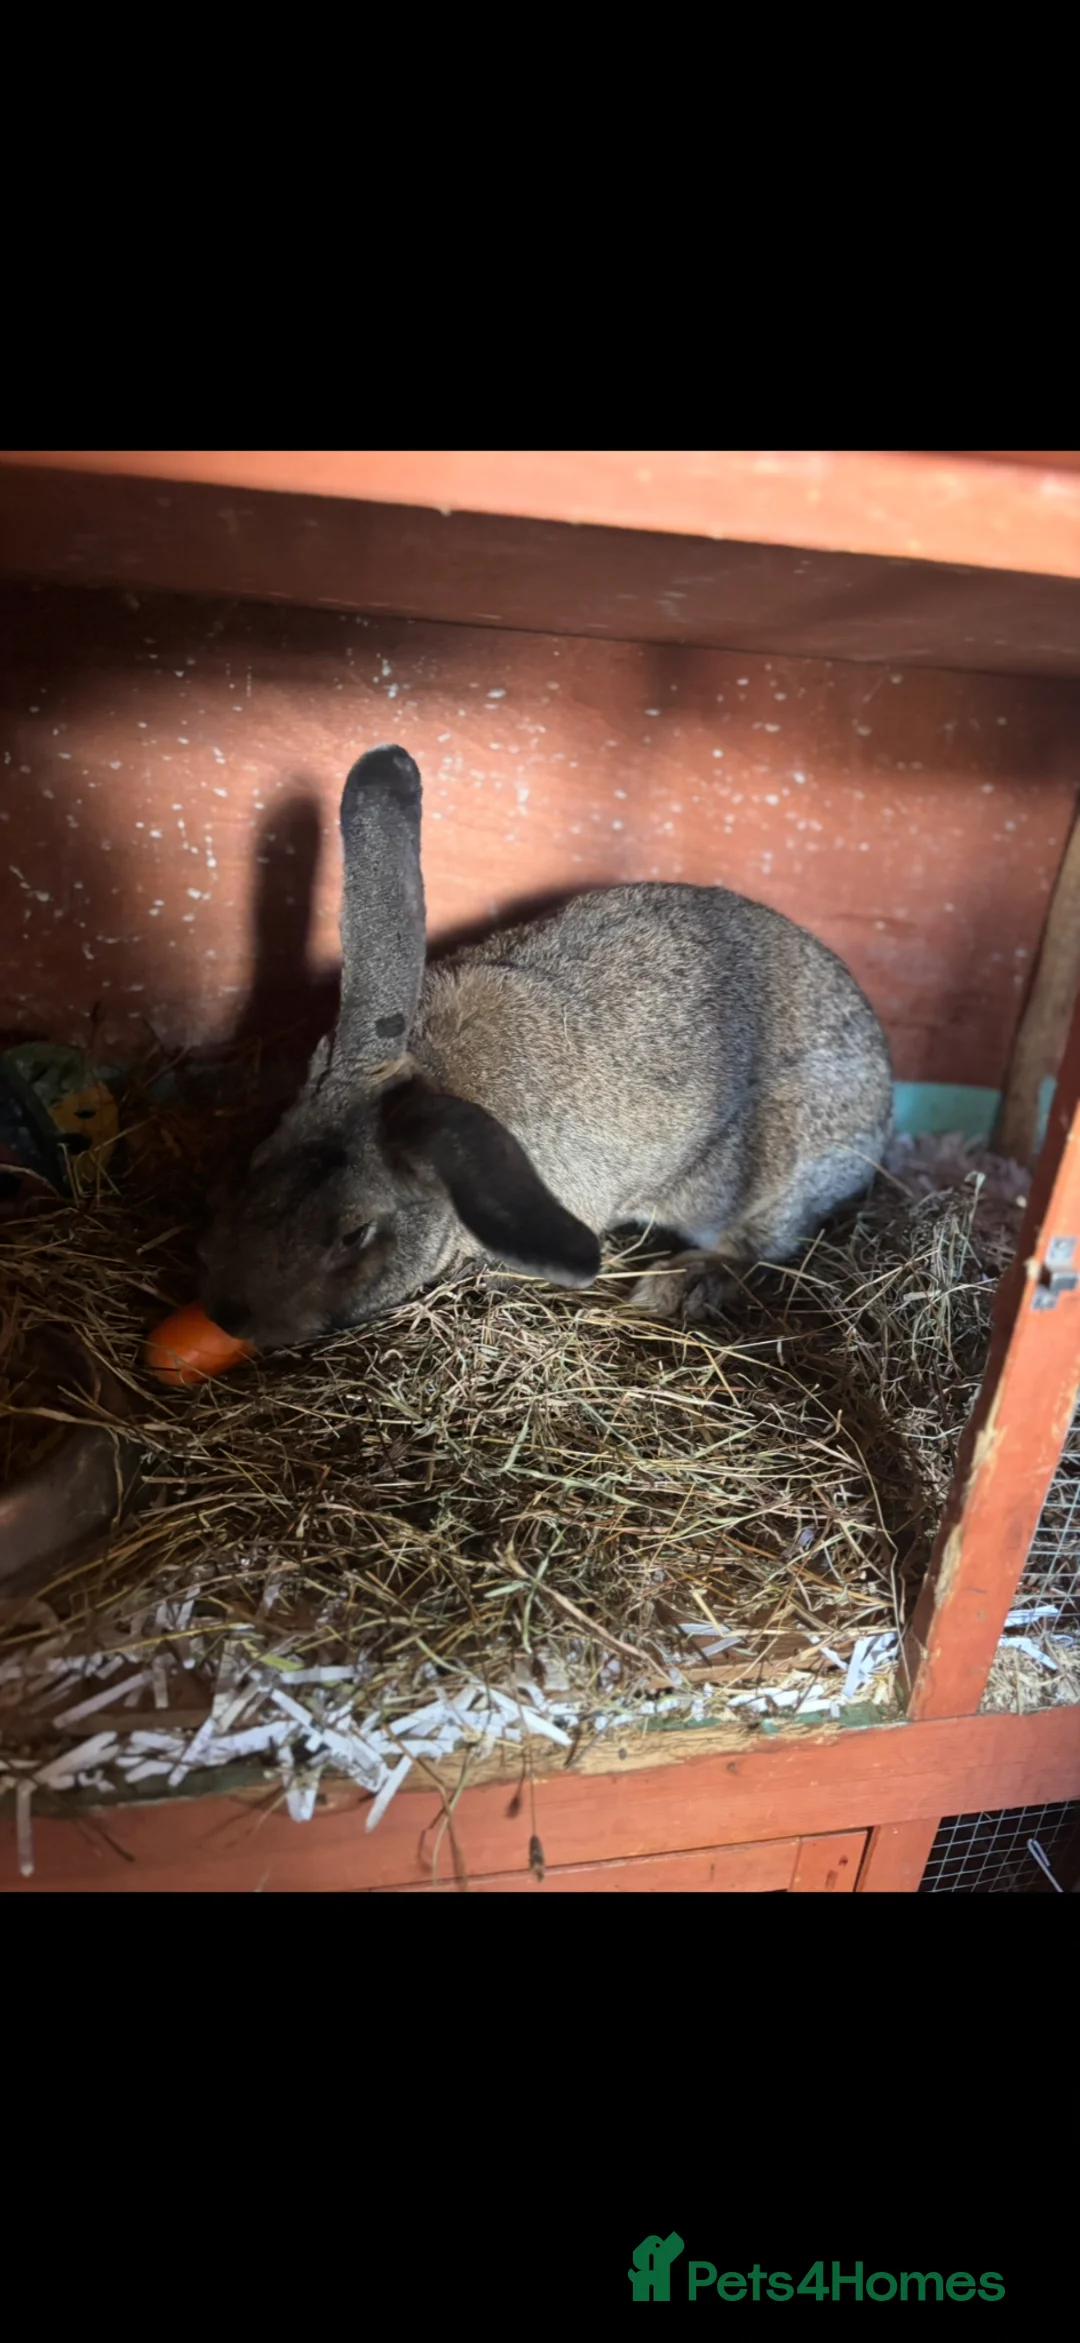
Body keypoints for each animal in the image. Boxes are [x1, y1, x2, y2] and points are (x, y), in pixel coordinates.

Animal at [198, 744, 893, 1350]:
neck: (437, 1072)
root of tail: (883, 1098)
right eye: (253, 1162)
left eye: (353, 1234)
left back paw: (677, 1286)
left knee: (762, 1241)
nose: (228, 1318)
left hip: (771, 1173)